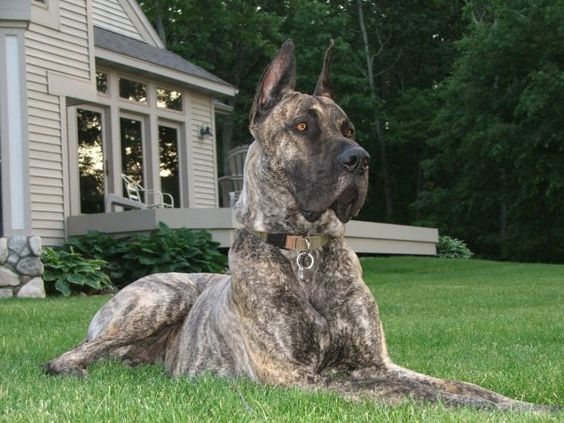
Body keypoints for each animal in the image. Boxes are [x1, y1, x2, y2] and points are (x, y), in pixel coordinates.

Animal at [46, 41, 552, 412]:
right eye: (303, 126)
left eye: (349, 128)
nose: (360, 159)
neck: (303, 247)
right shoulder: (300, 377)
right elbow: (418, 395)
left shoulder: (377, 362)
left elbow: (459, 385)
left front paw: (523, 404)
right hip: (160, 298)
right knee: (63, 357)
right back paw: (75, 369)